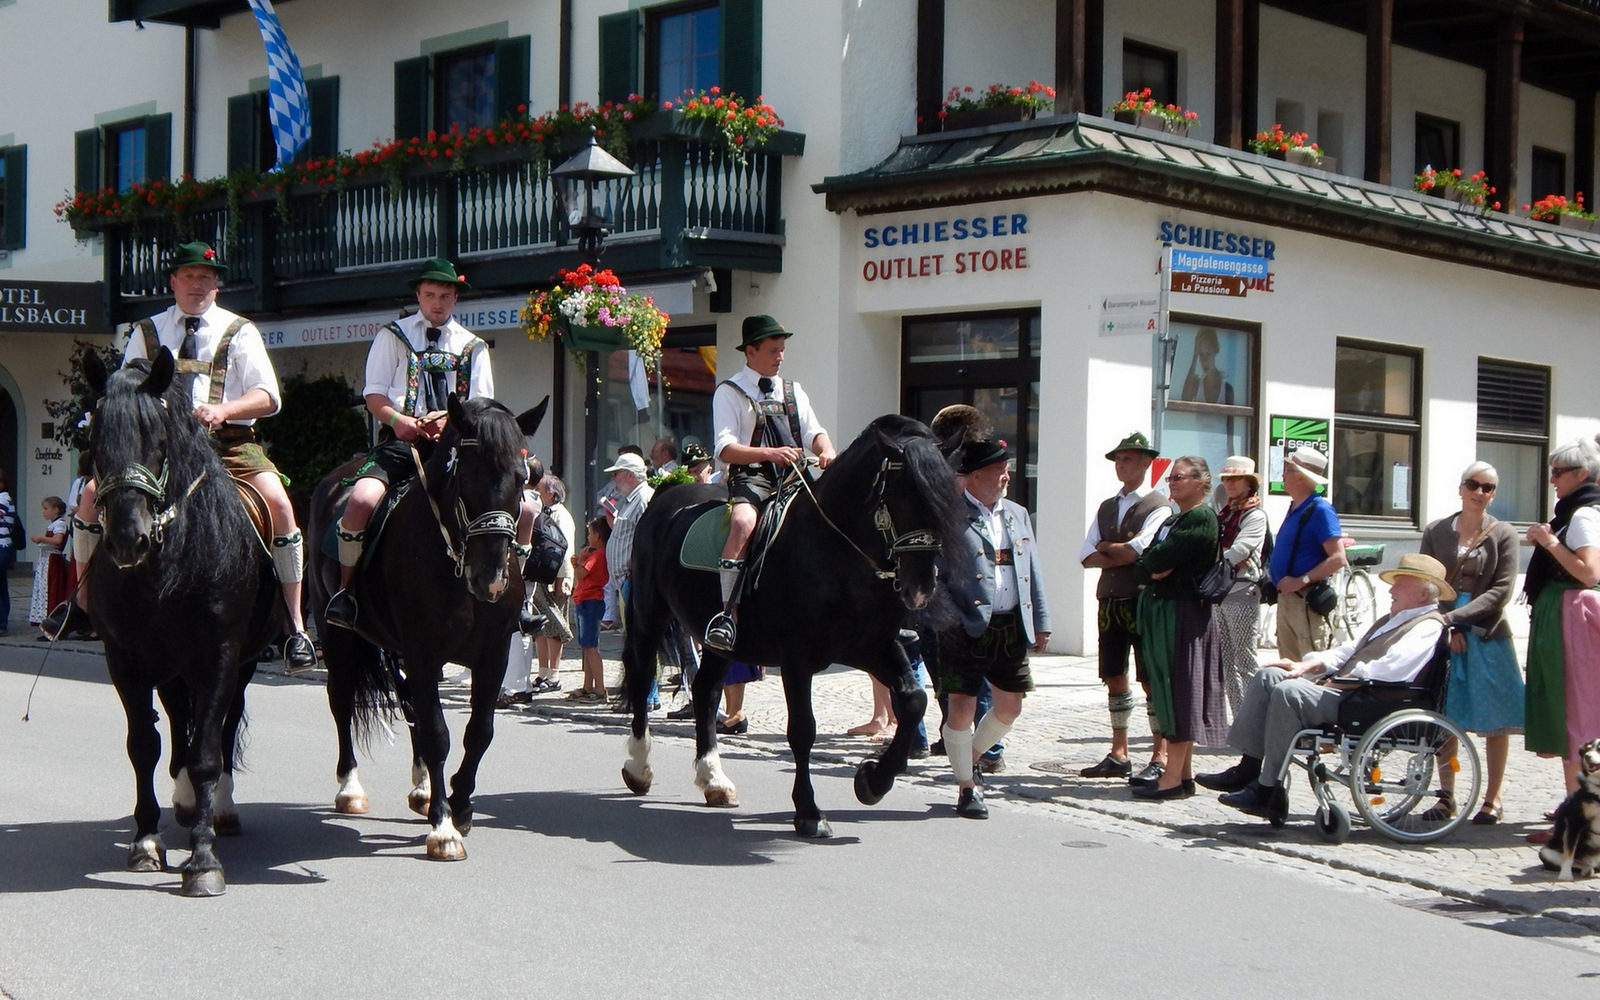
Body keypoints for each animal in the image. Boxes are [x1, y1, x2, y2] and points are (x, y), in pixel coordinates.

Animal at [81, 347, 280, 896]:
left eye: (158, 438)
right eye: (94, 440)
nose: (127, 537)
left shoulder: (219, 656)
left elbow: (208, 752)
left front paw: (203, 860)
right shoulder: (125, 659)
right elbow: (143, 745)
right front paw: (146, 842)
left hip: (240, 663)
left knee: (224, 727)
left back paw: (219, 810)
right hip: (170, 668)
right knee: (176, 721)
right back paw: (188, 800)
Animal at [308, 390, 547, 857]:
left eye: (520, 477)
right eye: (466, 475)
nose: (490, 579)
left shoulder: (492, 654)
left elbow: (479, 732)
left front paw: (460, 803)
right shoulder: (423, 650)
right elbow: (439, 733)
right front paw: (444, 826)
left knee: (410, 705)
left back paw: (421, 788)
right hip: (336, 633)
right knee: (342, 700)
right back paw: (351, 788)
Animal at [614, 412, 960, 832]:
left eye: (945, 500)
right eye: (903, 494)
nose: (920, 589)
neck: (837, 554)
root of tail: (665, 496)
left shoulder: (872, 646)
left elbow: (914, 699)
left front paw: (872, 781)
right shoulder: (798, 657)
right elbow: (803, 730)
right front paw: (809, 812)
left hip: (717, 641)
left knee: (706, 692)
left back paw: (714, 781)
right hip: (650, 616)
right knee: (643, 677)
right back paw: (639, 767)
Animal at [1536, 736, 1600, 876]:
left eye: (1599, 749)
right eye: (1588, 749)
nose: (1587, 756)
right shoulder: (1575, 821)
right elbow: (1569, 854)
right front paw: (1565, 875)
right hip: (1546, 852)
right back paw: (1586, 870)